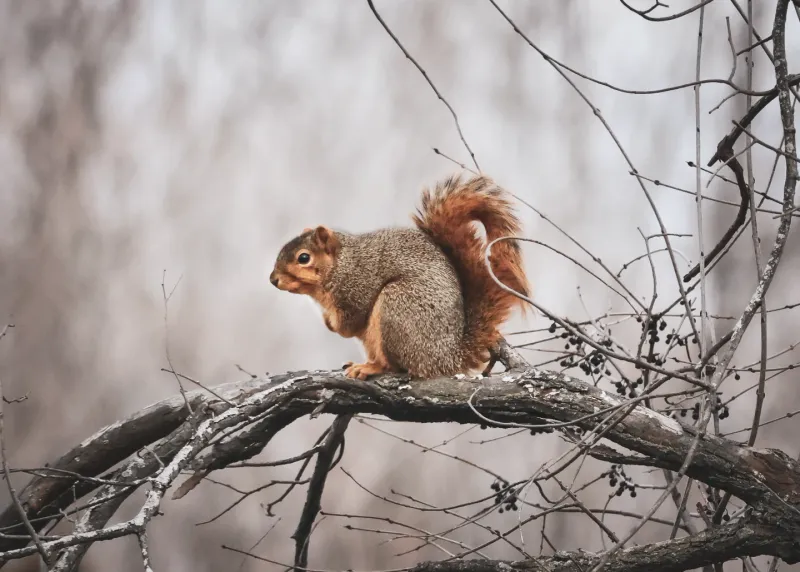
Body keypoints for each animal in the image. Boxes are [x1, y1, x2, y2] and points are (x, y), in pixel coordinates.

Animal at [269, 174, 530, 380]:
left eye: (304, 258)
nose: (273, 279)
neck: (341, 264)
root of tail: (448, 359)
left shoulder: (357, 288)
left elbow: (350, 324)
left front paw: (333, 324)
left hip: (398, 308)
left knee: (397, 367)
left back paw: (370, 368)